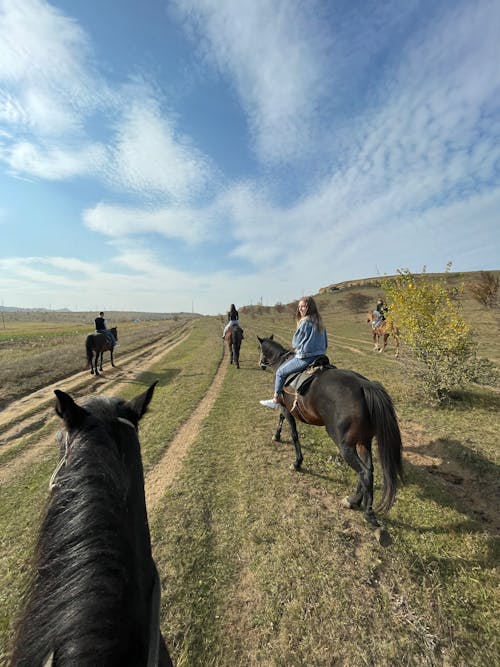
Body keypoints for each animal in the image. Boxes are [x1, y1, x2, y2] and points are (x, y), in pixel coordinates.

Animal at [258, 336, 402, 528]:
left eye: (260, 349)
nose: (261, 364)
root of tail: (365, 385)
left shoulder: (287, 409)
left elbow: (293, 434)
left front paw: (297, 462)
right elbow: (282, 420)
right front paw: (277, 436)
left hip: (345, 445)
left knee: (364, 473)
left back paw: (369, 514)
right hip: (364, 441)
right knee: (368, 470)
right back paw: (353, 501)